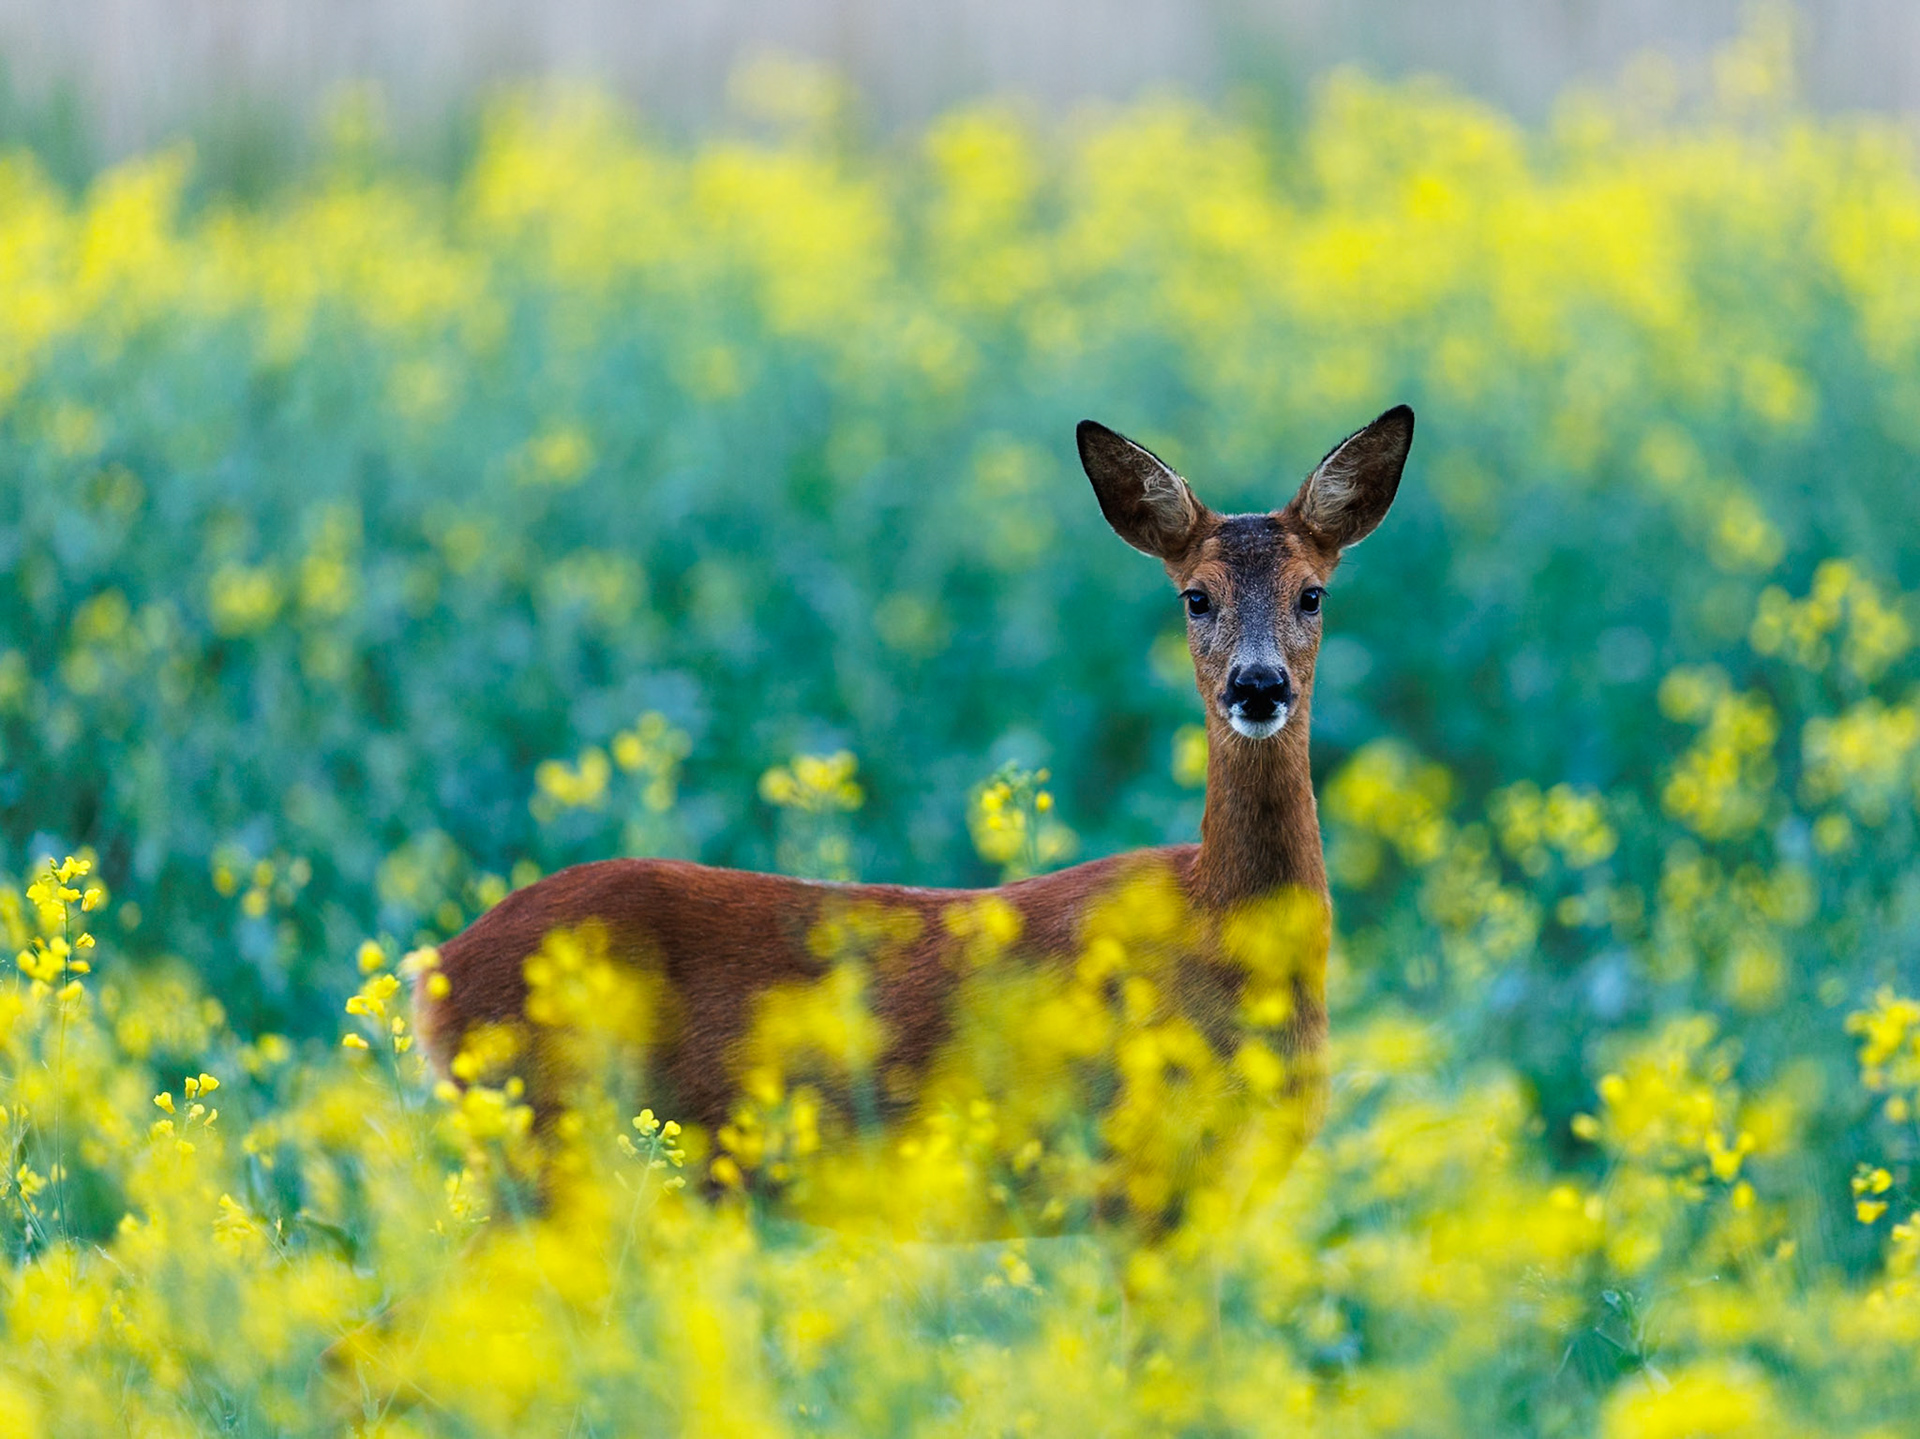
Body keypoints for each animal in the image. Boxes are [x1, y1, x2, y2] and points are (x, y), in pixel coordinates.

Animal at [414, 405, 1413, 1233]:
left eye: (1313, 593)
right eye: (1195, 596)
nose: (1258, 685)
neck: (1220, 927)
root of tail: (436, 974)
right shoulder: (1134, 1180)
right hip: (549, 1151)